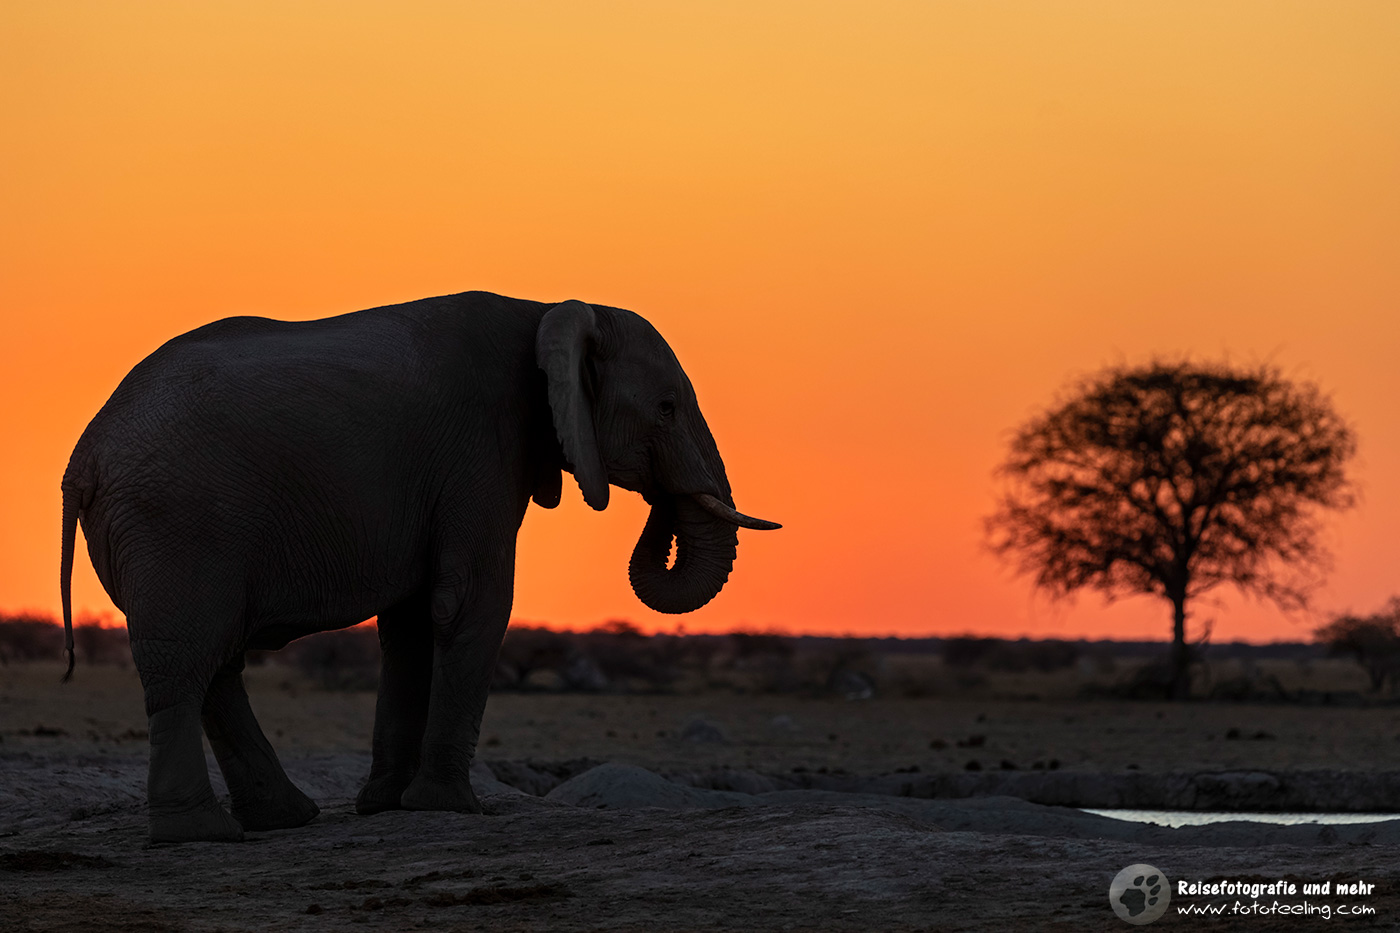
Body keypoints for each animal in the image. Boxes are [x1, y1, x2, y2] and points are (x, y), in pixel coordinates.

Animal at [58, 291, 778, 843]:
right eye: (667, 407)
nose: (659, 498)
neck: (550, 308)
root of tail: (83, 458)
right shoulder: (480, 451)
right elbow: (473, 603)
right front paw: (455, 808)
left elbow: (408, 625)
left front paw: (387, 806)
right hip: (175, 523)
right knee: (188, 661)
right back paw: (201, 834)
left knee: (215, 663)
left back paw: (283, 819)